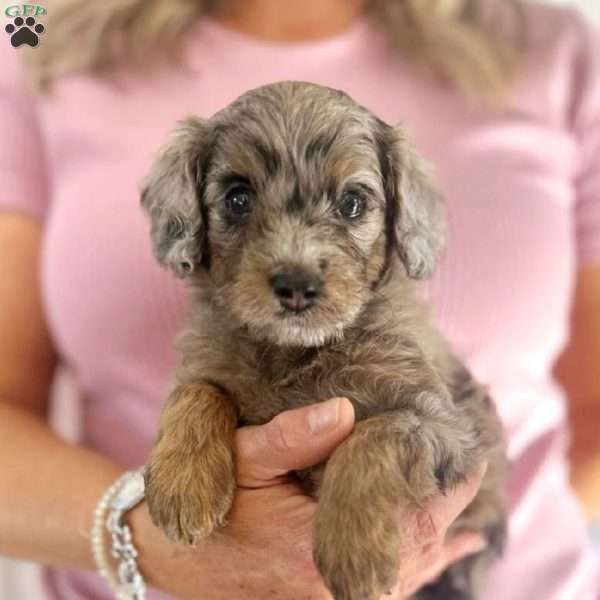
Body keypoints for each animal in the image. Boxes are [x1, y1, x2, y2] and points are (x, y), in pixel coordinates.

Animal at [141, 81, 506, 600]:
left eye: (352, 202)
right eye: (237, 198)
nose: (296, 284)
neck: (295, 350)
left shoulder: (447, 424)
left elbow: (377, 433)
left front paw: (355, 552)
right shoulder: (210, 361)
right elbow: (197, 391)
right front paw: (183, 485)